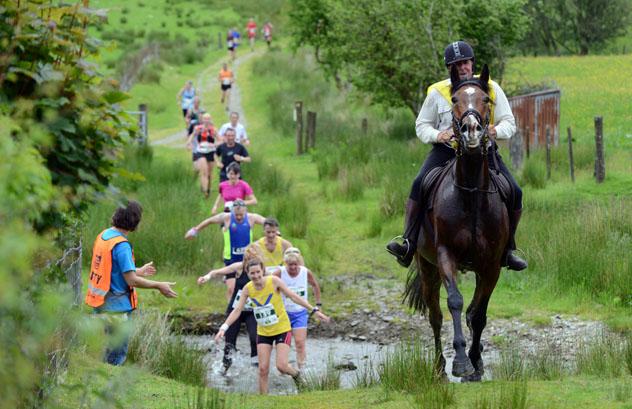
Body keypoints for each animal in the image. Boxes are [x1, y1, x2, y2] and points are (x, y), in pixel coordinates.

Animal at [402, 63, 512, 382]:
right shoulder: (445, 256)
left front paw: (476, 363)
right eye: (454, 100)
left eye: (486, 99)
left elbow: (478, 313)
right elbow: (455, 302)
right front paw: (461, 361)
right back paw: (439, 367)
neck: (472, 194)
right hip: (427, 267)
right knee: (436, 316)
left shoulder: (490, 264)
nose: (472, 130)